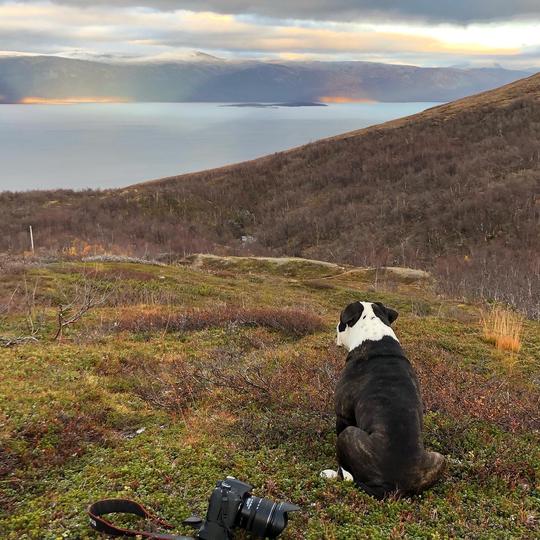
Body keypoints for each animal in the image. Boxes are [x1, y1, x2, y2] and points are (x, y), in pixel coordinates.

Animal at [322, 300, 446, 498]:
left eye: (341, 320)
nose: (336, 326)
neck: (374, 337)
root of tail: (393, 487)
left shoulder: (343, 416)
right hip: (439, 458)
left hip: (348, 434)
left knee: (348, 475)